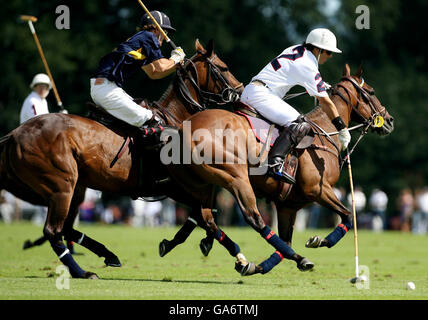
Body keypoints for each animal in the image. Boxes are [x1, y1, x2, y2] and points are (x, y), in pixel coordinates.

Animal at [0, 39, 247, 278]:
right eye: (224, 67)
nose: (241, 92)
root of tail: (14, 133)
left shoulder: (177, 188)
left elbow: (204, 213)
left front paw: (179, 243)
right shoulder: (173, 186)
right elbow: (207, 218)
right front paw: (241, 259)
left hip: (72, 187)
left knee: (65, 228)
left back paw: (108, 255)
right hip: (62, 185)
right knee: (53, 230)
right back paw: (83, 272)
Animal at [165, 64, 394, 276]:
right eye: (371, 91)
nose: (389, 120)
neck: (325, 133)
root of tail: (184, 128)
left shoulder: (288, 206)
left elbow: (284, 242)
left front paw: (261, 267)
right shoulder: (318, 189)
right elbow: (347, 216)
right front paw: (318, 241)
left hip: (200, 184)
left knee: (205, 216)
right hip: (235, 177)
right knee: (253, 218)